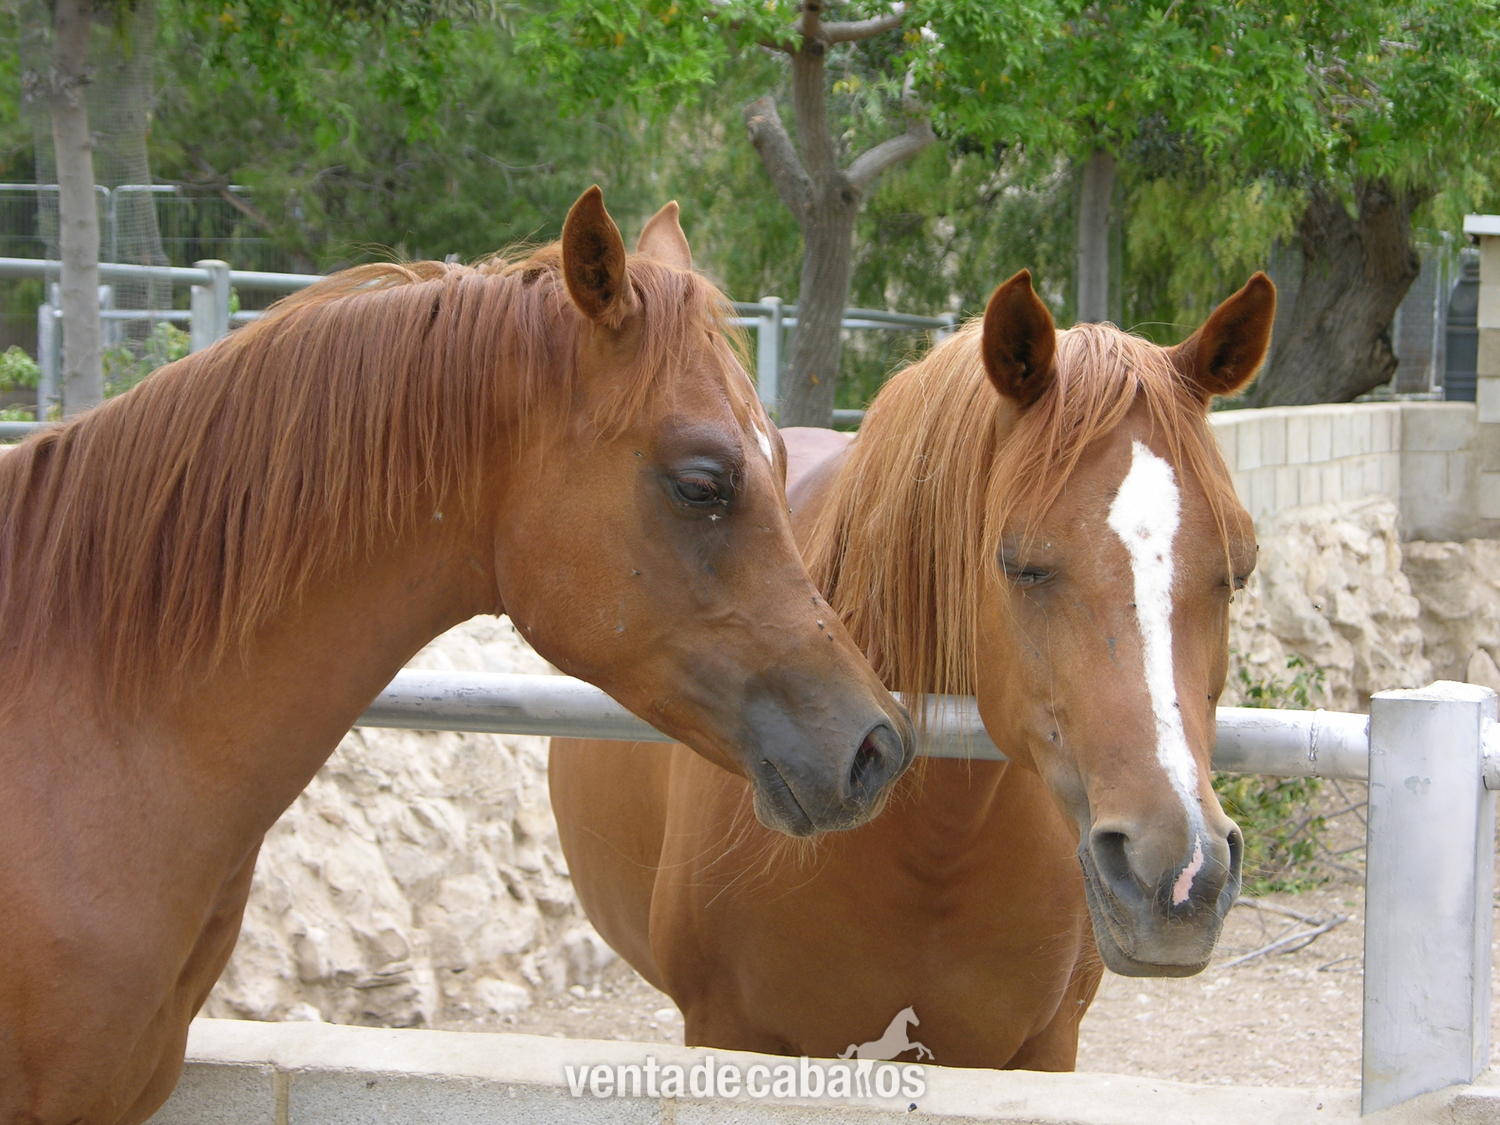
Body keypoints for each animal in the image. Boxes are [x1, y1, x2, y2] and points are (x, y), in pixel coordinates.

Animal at [550, 269, 1274, 1069]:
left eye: (1238, 571)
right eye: (1020, 564)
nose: (1177, 875)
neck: (933, 852)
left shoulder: (1048, 1047)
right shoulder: (729, 1033)